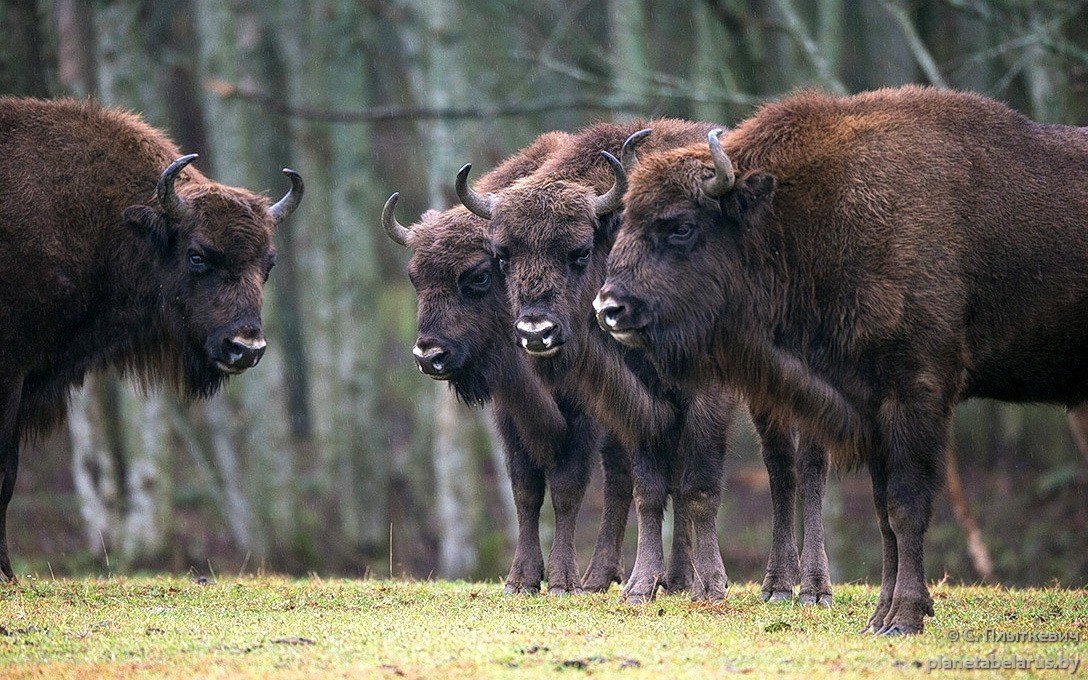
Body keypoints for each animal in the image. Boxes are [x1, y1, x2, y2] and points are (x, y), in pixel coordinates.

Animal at [459, 118, 831, 604]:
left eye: (579, 252)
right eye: (502, 257)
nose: (536, 332)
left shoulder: (706, 394)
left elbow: (699, 486)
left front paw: (711, 587)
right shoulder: (640, 401)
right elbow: (650, 488)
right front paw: (640, 586)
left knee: (806, 467)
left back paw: (811, 588)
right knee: (780, 467)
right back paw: (767, 585)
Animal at [600, 84, 1088, 631]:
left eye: (681, 227)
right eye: (625, 219)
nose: (610, 307)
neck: (811, 214)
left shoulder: (917, 392)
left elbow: (906, 505)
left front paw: (905, 617)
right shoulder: (870, 405)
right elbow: (884, 512)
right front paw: (881, 618)